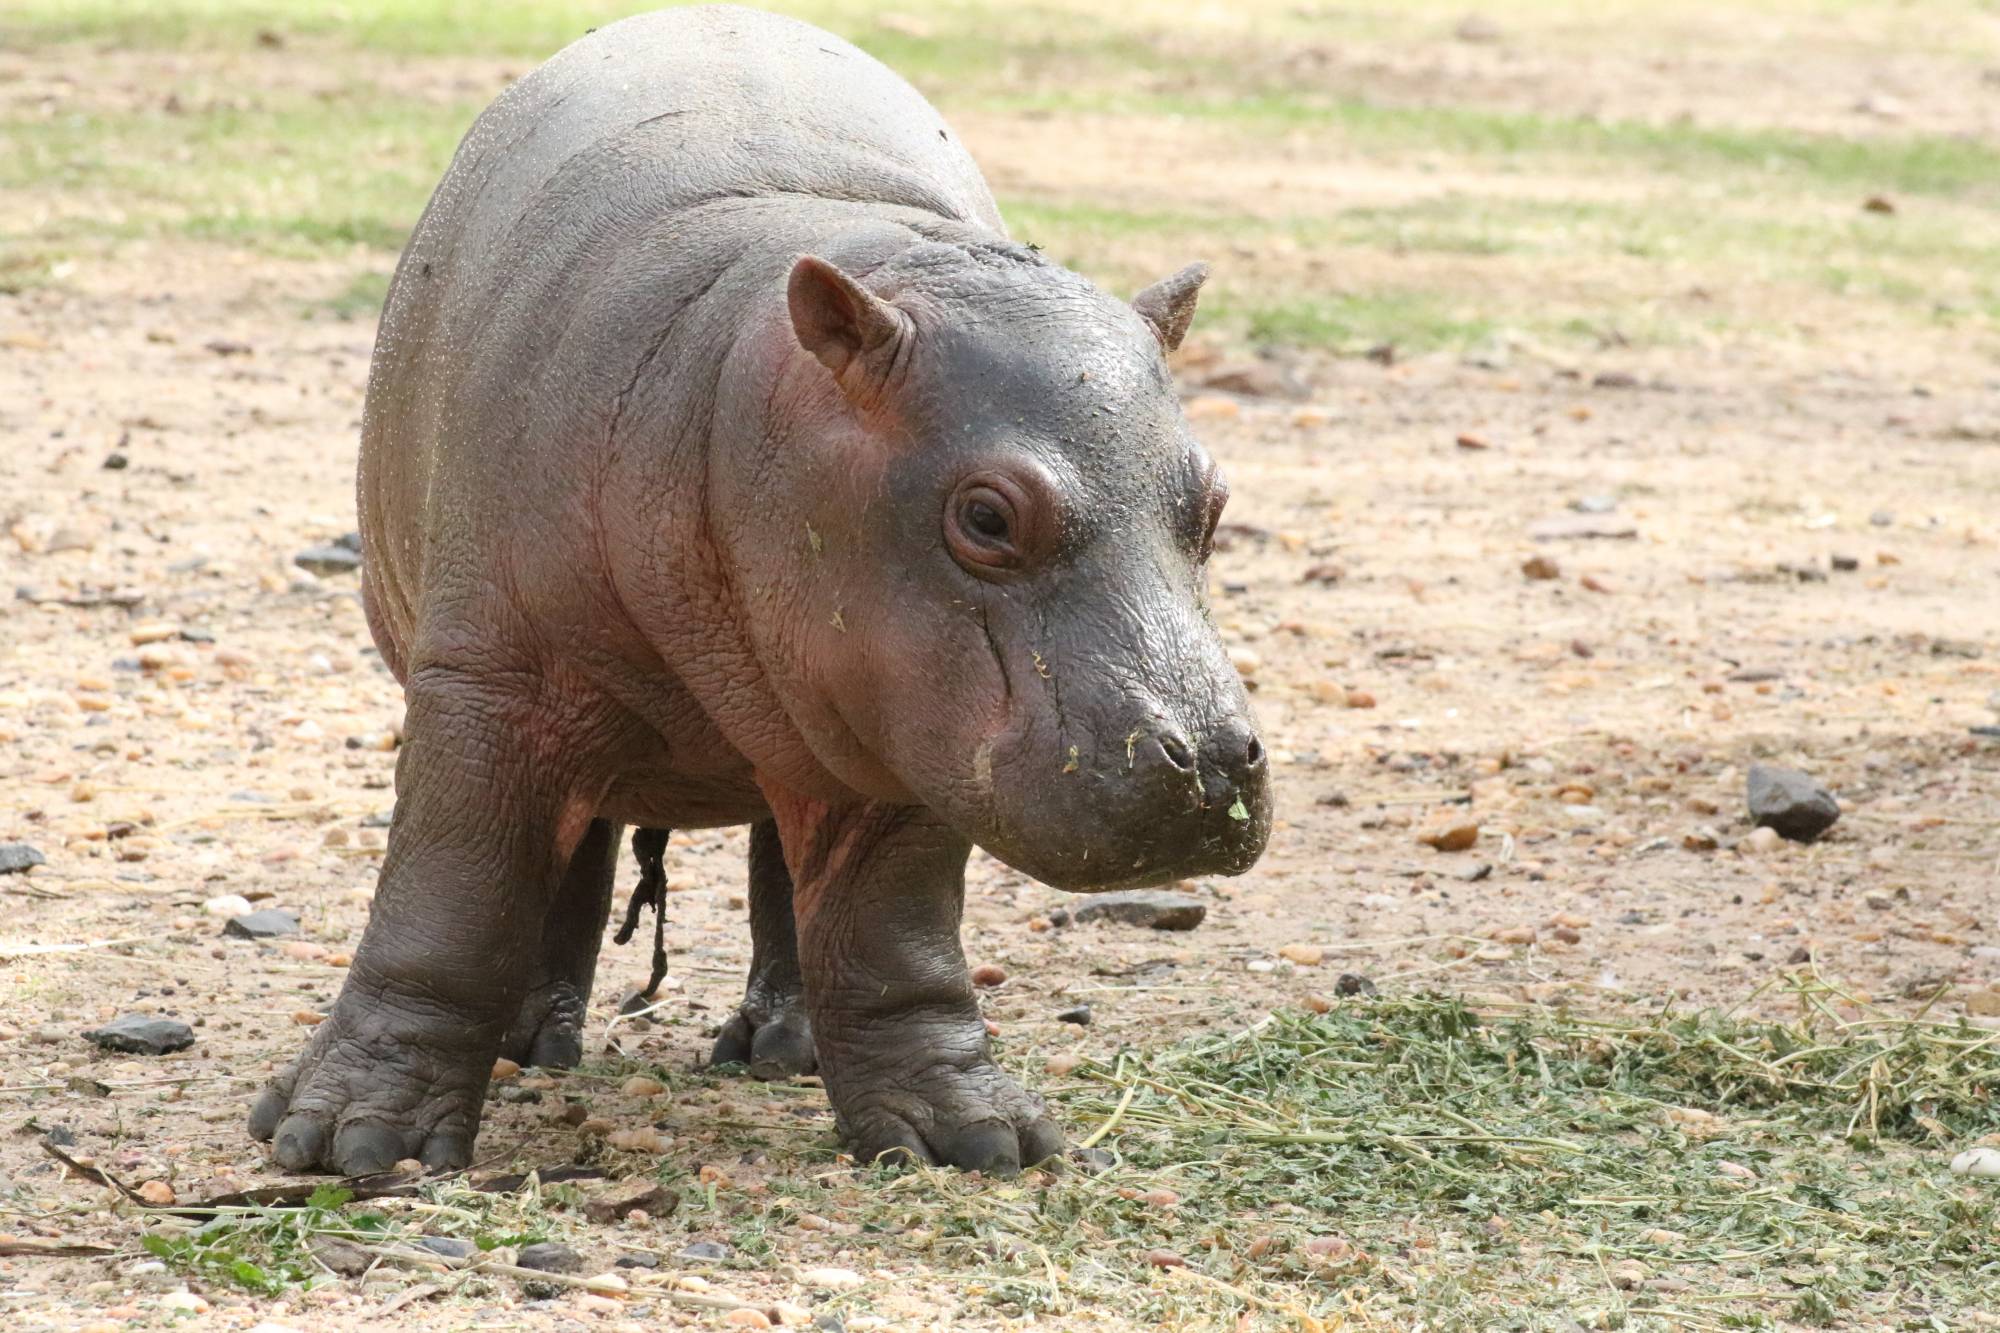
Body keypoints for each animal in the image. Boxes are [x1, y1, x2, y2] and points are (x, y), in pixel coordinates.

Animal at [249, 3, 1271, 1178]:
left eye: (1212, 497)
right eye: (985, 517)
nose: (1210, 764)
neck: (748, 387)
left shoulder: (908, 728)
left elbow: (892, 932)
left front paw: (966, 1135)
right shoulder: (484, 677)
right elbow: (449, 892)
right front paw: (346, 1142)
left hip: (827, 712)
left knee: (781, 864)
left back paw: (785, 1046)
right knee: (566, 846)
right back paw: (530, 1040)